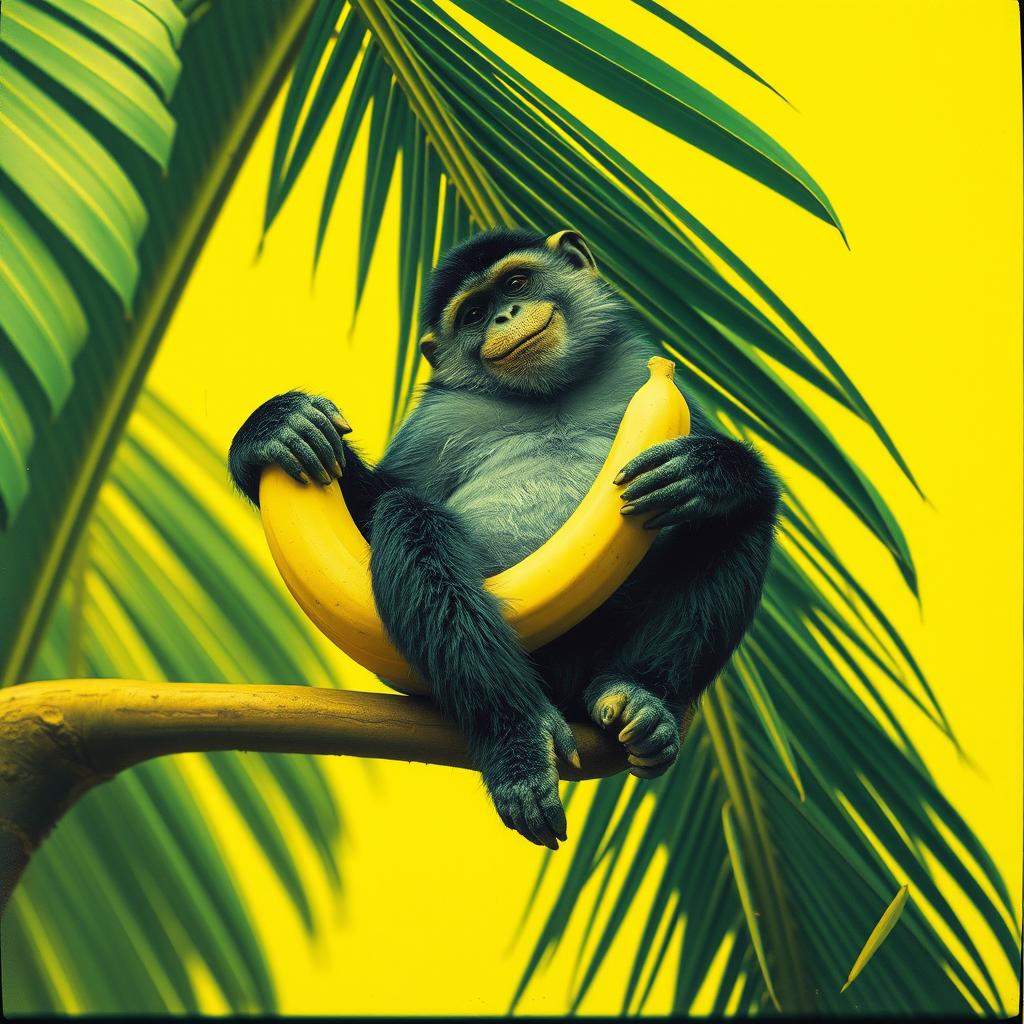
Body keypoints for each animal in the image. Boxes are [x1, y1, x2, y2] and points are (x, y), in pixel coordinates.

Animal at [229, 228, 780, 850]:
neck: (548, 395)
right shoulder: (438, 418)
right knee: (411, 520)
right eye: (472, 314)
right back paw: (517, 743)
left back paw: (643, 697)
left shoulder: (646, 374)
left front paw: (712, 470)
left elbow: (720, 487)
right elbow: (379, 507)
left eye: (516, 282)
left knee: (741, 520)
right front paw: (275, 428)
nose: (504, 316)